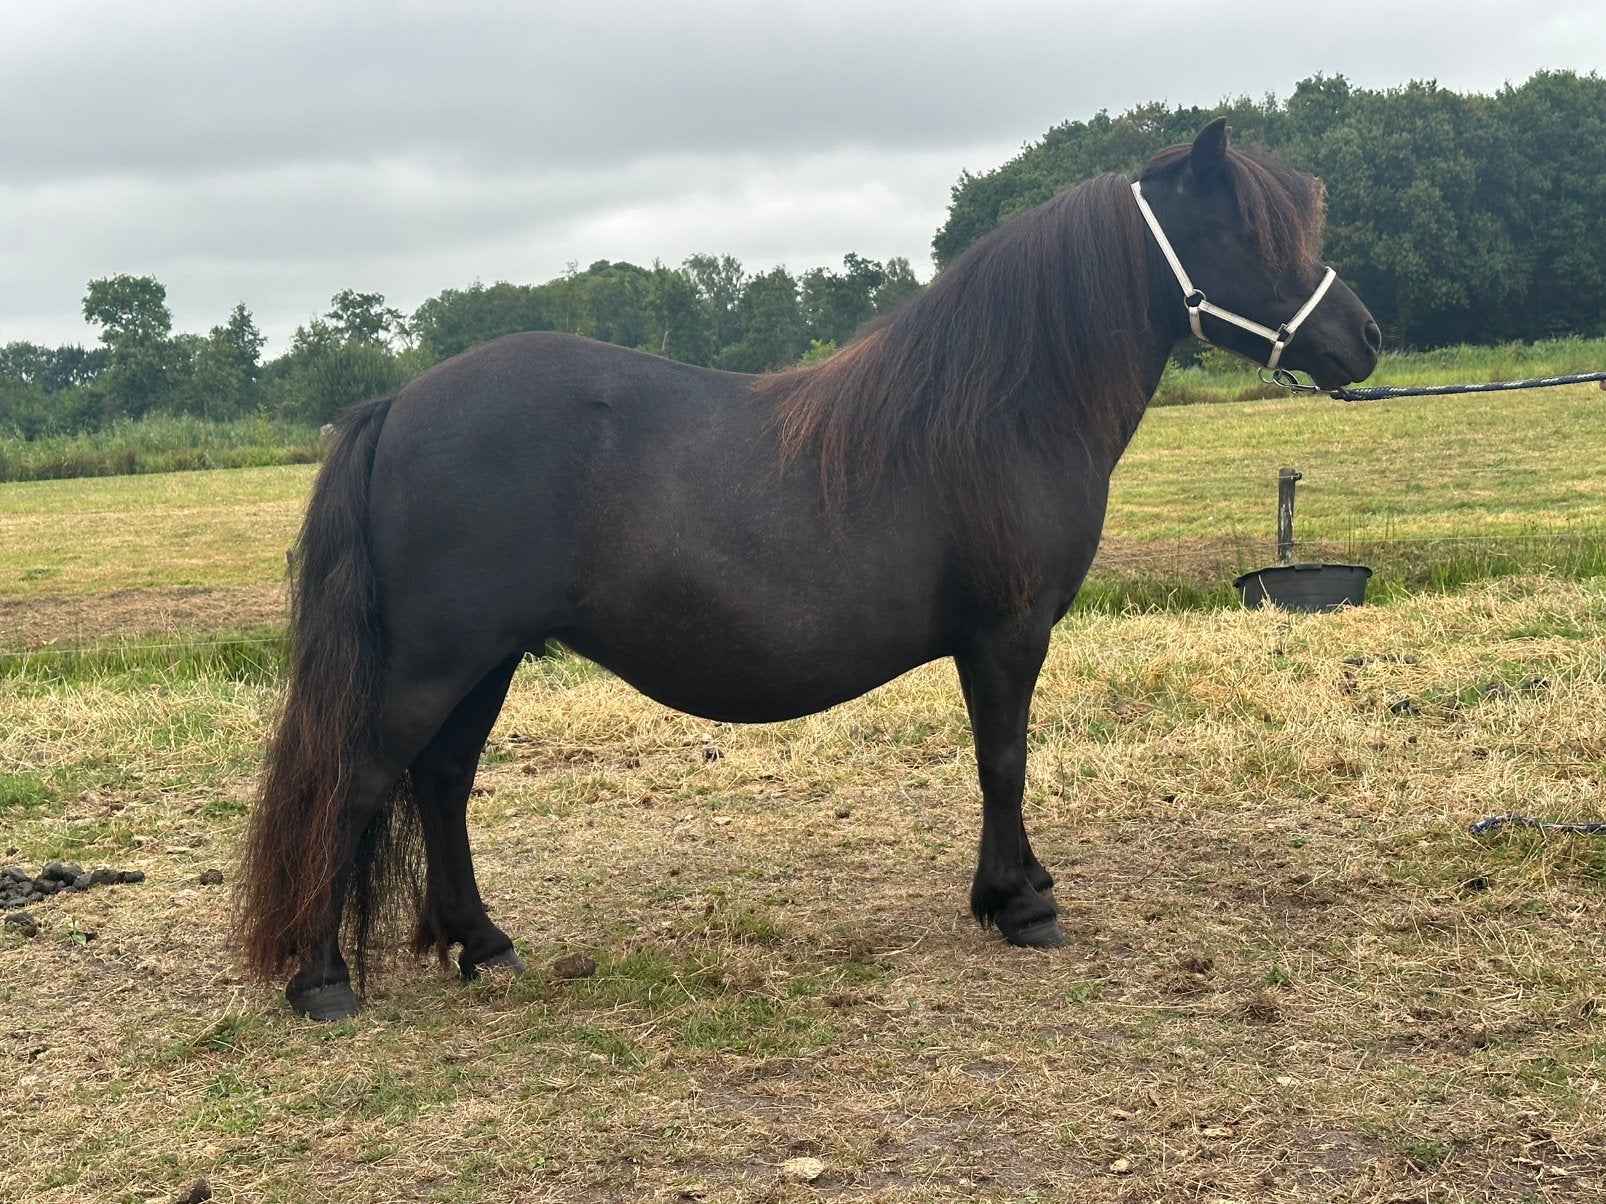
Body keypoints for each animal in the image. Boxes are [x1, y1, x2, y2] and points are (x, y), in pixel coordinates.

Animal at [236, 119, 1381, 1020]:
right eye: (1248, 235)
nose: (1364, 338)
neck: (1002, 414)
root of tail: (400, 404)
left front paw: (1010, 892)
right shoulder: (1006, 635)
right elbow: (1003, 760)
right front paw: (1021, 904)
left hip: (487, 658)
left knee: (441, 783)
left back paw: (484, 944)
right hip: (435, 660)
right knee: (360, 780)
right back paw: (323, 982)